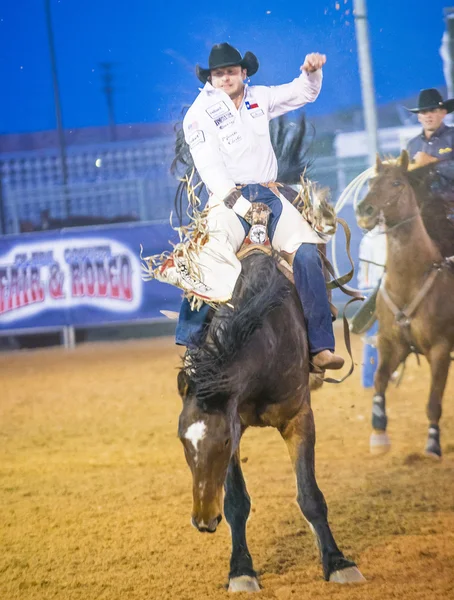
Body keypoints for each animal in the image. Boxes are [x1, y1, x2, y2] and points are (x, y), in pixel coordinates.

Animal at [176, 248, 364, 592]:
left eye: (223, 440)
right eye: (182, 440)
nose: (203, 521)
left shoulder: (298, 418)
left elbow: (310, 496)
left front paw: (337, 562)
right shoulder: (235, 421)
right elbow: (236, 502)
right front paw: (241, 571)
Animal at [356, 151, 452, 460]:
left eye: (397, 183)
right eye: (371, 181)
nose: (364, 210)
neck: (410, 279)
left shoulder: (441, 350)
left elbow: (434, 400)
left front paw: (432, 444)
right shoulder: (392, 344)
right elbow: (379, 380)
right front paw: (378, 433)